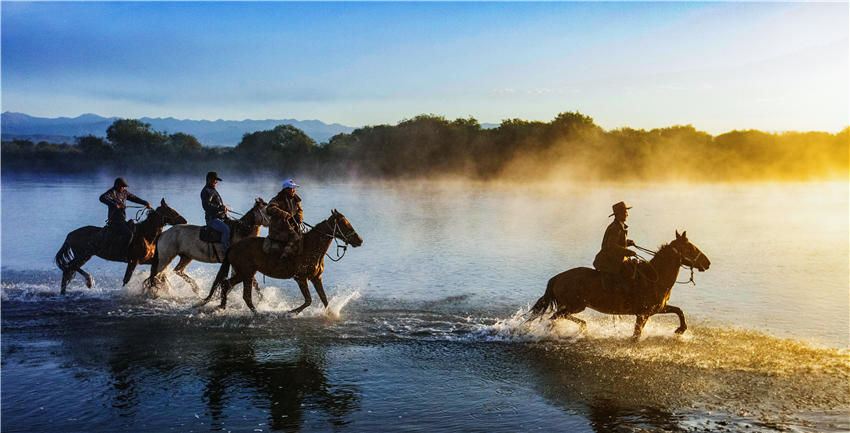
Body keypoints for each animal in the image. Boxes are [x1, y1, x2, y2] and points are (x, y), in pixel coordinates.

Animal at [55, 198, 187, 294]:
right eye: (171, 210)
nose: (184, 220)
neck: (146, 235)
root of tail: (71, 235)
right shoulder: (133, 261)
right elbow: (127, 279)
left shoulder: (150, 261)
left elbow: (155, 277)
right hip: (83, 255)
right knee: (70, 266)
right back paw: (89, 281)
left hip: (85, 256)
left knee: (68, 270)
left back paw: (64, 292)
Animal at [201, 208, 362, 310]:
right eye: (344, 224)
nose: (359, 240)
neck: (311, 247)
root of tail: (233, 247)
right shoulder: (301, 278)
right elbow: (308, 301)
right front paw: (290, 312)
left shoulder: (316, 277)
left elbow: (324, 299)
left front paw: (331, 315)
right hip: (246, 273)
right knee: (245, 296)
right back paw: (257, 313)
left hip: (243, 273)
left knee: (226, 285)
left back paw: (222, 307)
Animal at [528, 231, 708, 340]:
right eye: (691, 249)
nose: (708, 263)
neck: (655, 278)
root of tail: (557, 277)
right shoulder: (643, 314)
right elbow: (636, 336)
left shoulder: (657, 309)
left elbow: (679, 311)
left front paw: (680, 330)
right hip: (575, 306)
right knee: (554, 318)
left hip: (570, 306)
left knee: (558, 317)